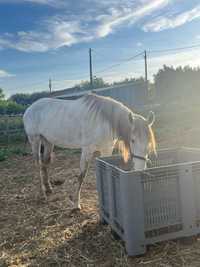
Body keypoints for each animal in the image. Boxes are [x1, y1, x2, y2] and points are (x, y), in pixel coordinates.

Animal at [23, 94, 156, 211]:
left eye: (149, 141)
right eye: (132, 140)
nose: (140, 169)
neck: (104, 122)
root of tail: (29, 109)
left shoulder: (106, 149)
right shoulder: (87, 149)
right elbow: (81, 176)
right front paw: (76, 204)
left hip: (48, 142)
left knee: (45, 164)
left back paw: (49, 188)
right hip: (35, 140)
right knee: (38, 164)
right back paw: (43, 193)